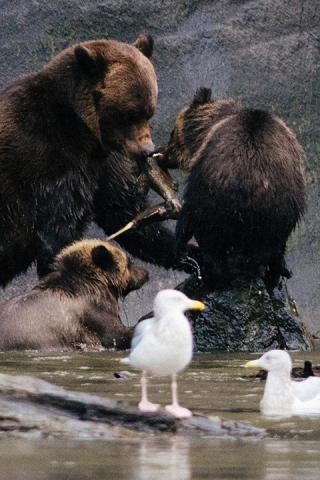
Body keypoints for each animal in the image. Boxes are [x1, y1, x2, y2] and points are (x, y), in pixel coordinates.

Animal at [0, 34, 182, 288]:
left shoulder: (102, 165)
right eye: (128, 114)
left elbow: (122, 212)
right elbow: (59, 233)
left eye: (149, 112)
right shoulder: (50, 164)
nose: (147, 151)